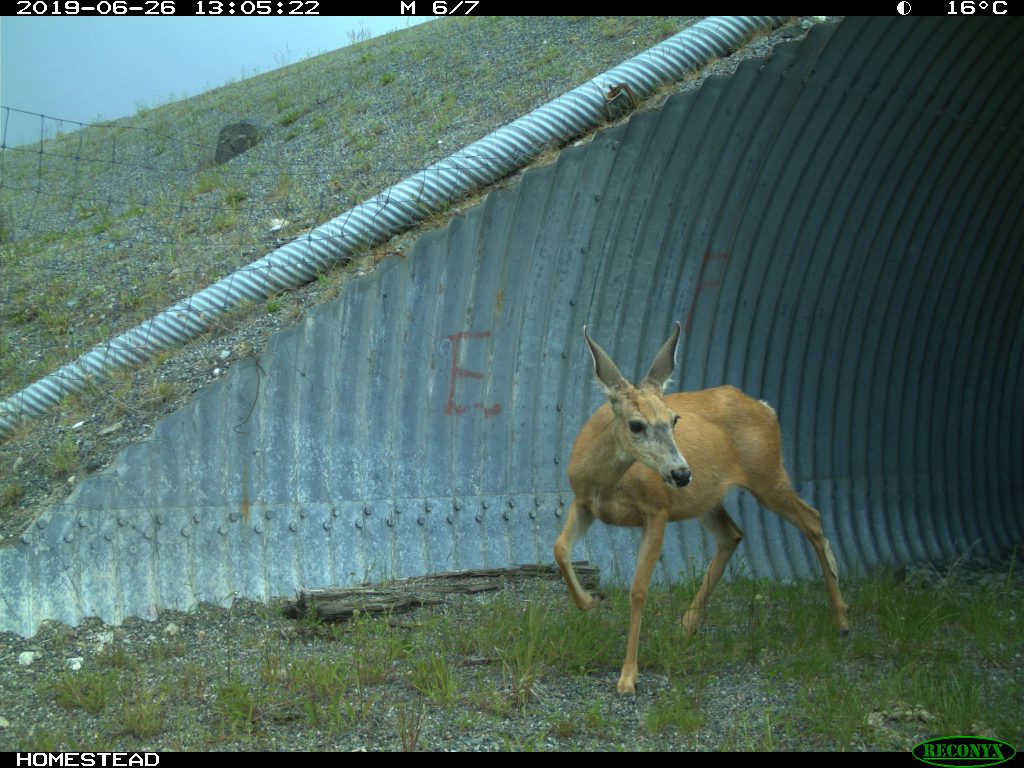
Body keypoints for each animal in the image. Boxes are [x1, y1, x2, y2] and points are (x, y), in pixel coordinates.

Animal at [552, 321, 847, 696]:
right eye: (636, 424)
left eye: (674, 419)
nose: (681, 473)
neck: (608, 481)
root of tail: (766, 407)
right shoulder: (584, 502)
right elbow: (560, 549)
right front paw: (591, 600)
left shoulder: (657, 510)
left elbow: (638, 589)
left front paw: (628, 676)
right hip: (707, 497)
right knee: (733, 534)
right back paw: (688, 623)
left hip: (767, 475)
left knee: (812, 518)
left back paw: (842, 619)